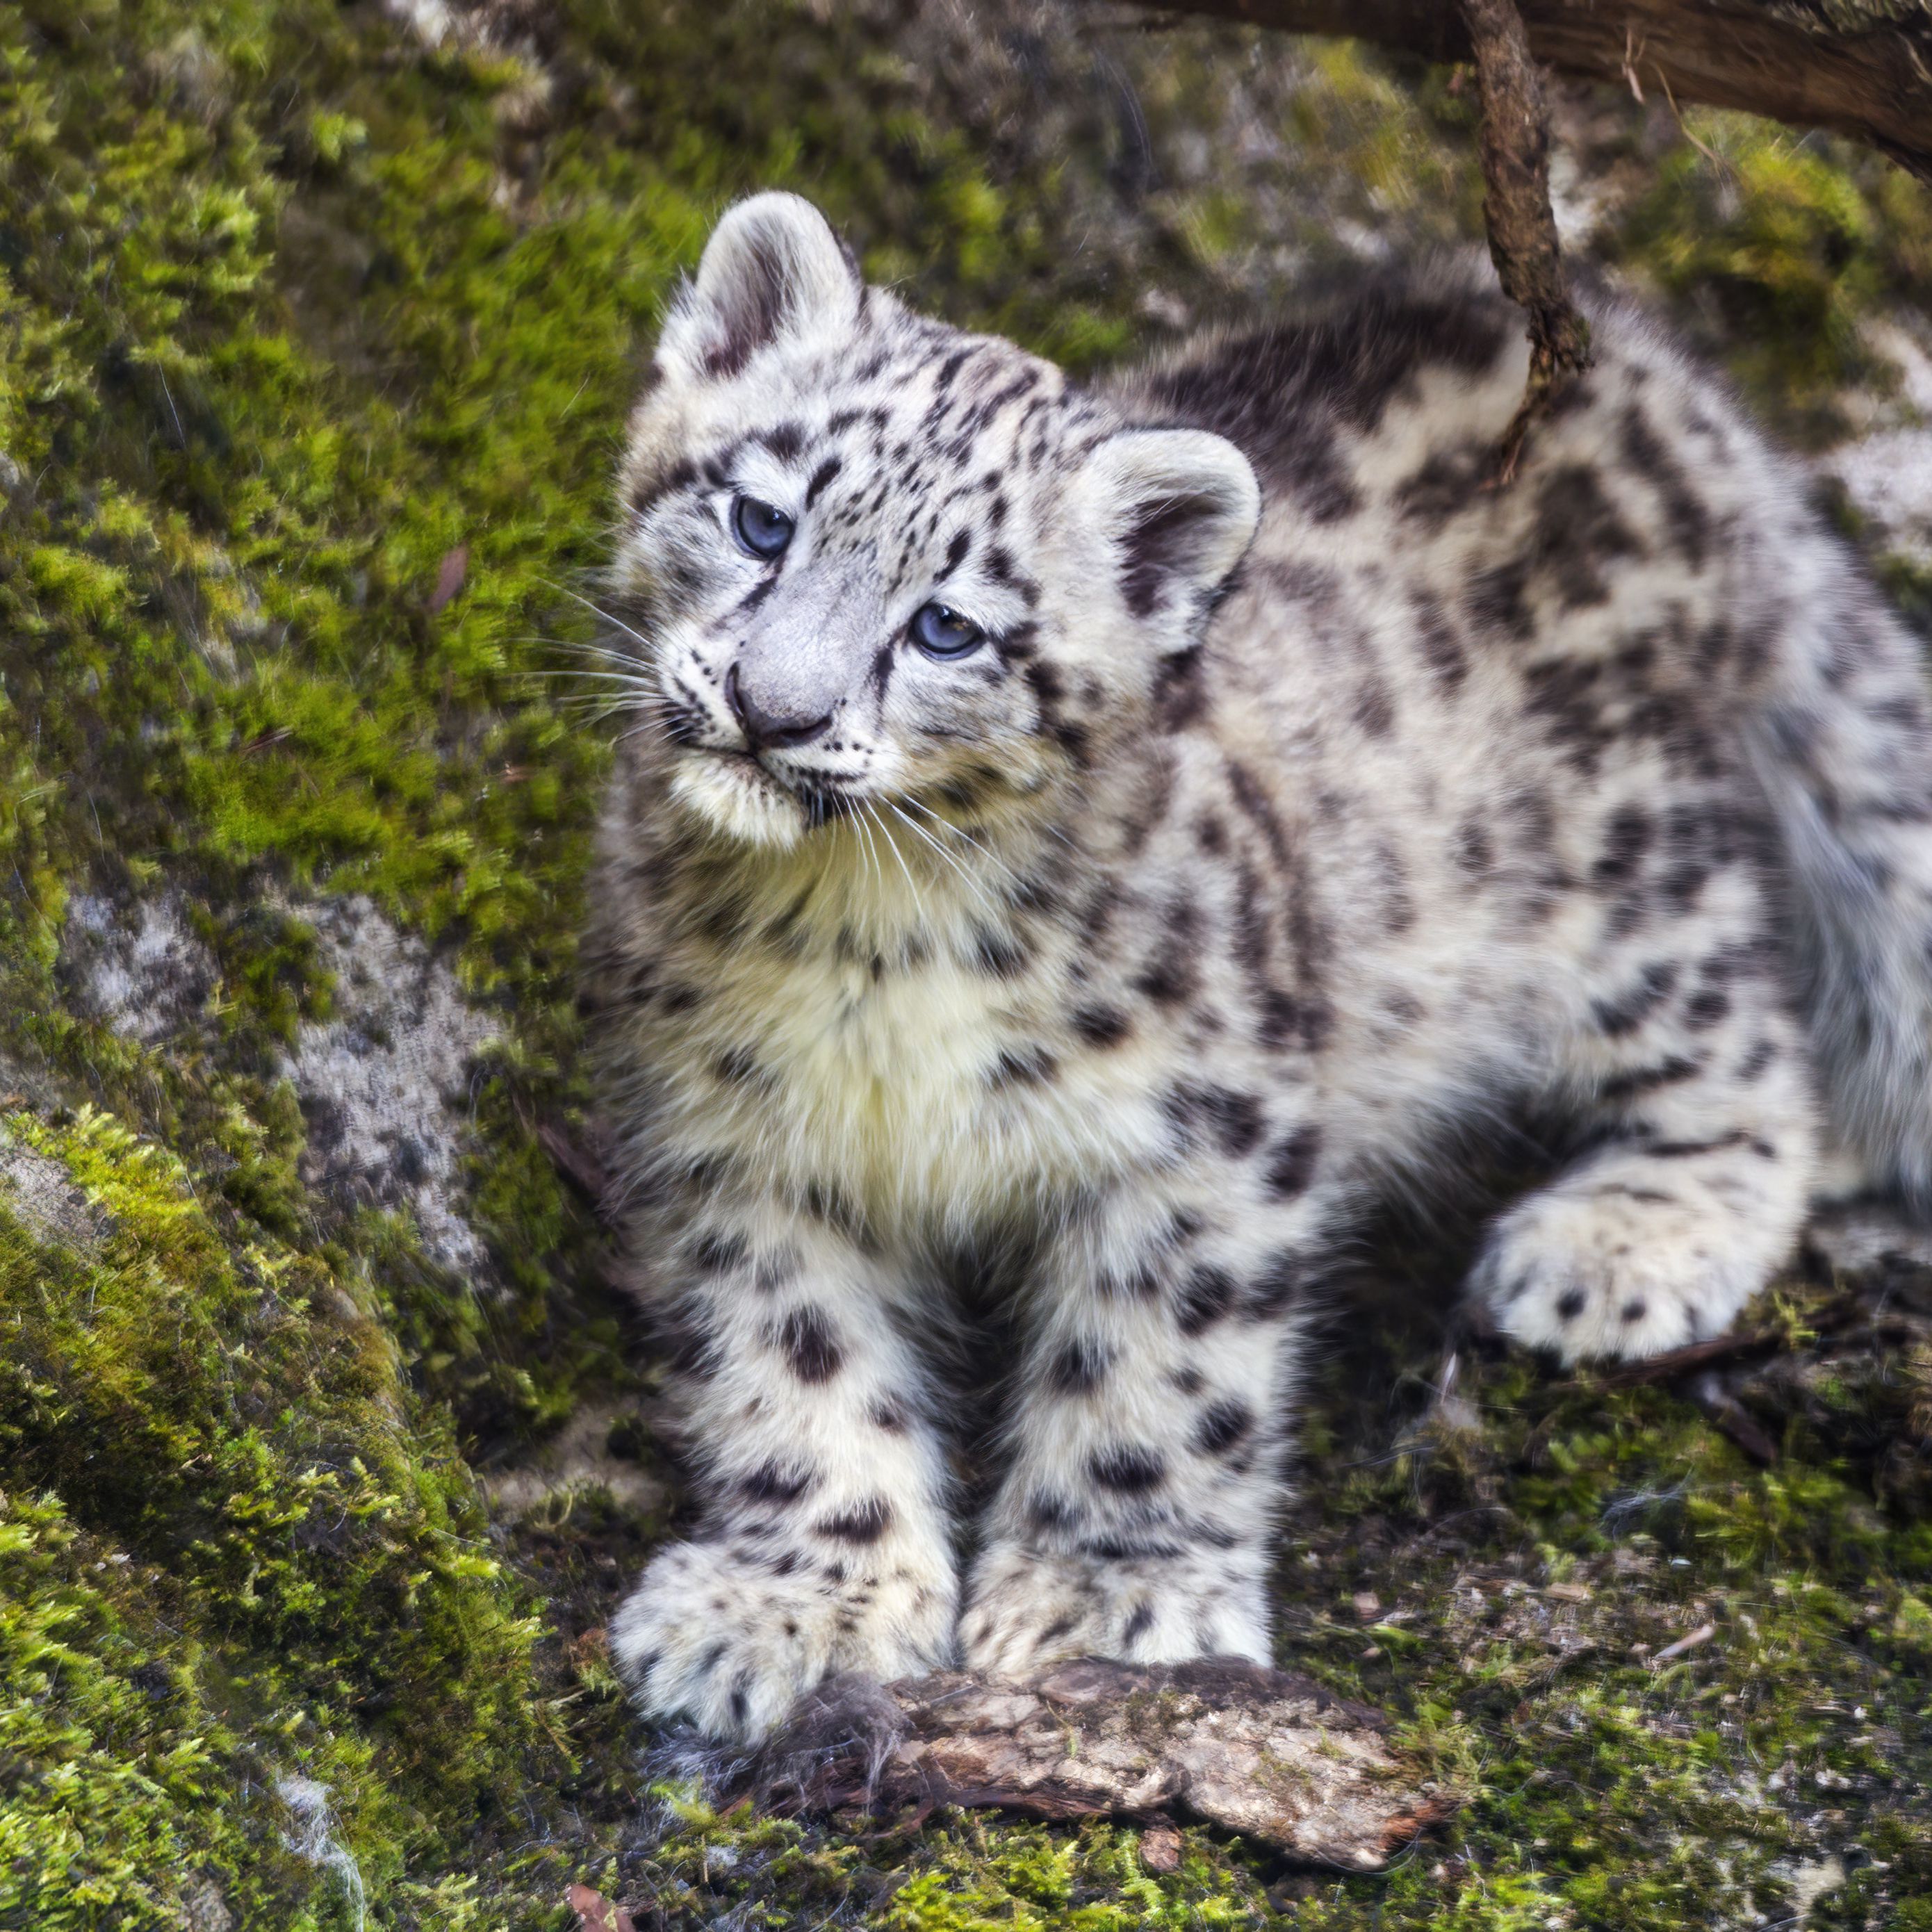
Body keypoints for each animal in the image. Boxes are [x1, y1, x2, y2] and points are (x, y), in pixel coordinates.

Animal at [582, 191, 1932, 1742]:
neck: (862, 936)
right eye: (761, 518)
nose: (772, 708)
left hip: (1612, 879)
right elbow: (789, 1361)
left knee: (1746, 1032)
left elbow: (1159, 1366)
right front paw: (796, 1600)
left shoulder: (1207, 1128)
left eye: (949, 627)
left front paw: (1109, 1596)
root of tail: (1663, 393)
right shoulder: (732, 1139)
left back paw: (1624, 1239)